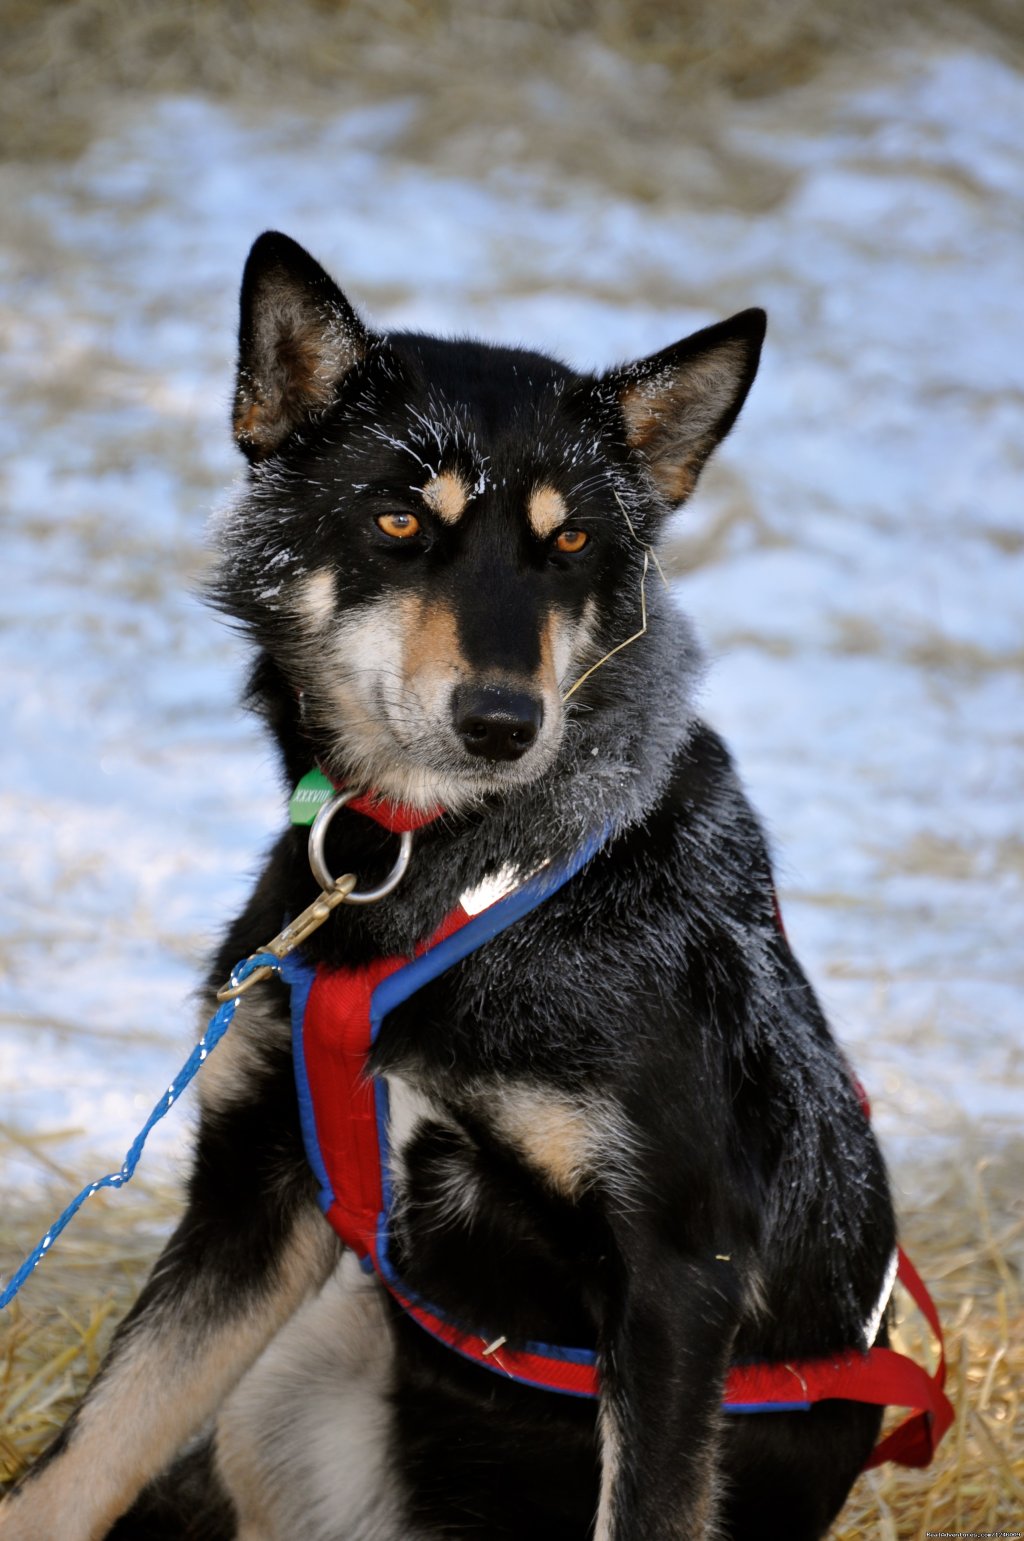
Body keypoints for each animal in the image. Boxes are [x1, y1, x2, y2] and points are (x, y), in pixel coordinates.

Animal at [0, 231, 893, 1541]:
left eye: (570, 542)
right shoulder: (254, 1186)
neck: (448, 866)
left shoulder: (677, 1271)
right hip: (287, 1377)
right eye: (396, 518)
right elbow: (83, 1459)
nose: (503, 722)